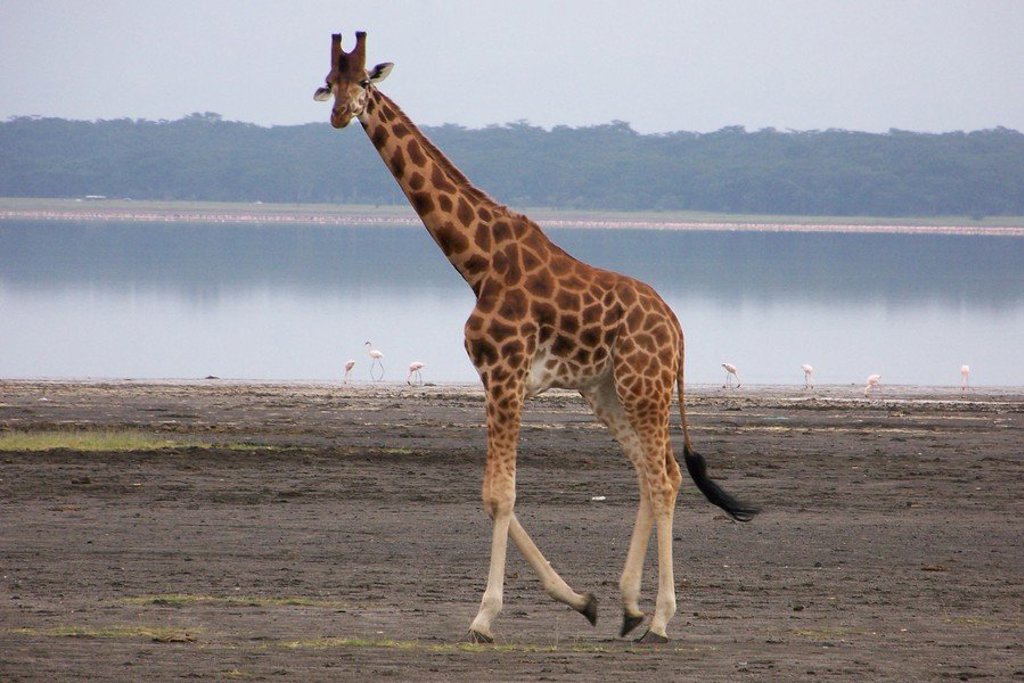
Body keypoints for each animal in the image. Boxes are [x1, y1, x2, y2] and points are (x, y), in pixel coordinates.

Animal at [314, 31, 758, 644]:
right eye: (329, 82)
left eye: (363, 82)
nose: (338, 114)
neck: (478, 262)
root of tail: (676, 326)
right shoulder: (499, 382)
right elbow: (492, 494)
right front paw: (583, 601)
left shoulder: (505, 374)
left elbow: (499, 494)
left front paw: (484, 617)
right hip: (606, 390)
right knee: (652, 473)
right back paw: (631, 608)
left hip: (643, 387)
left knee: (665, 477)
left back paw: (662, 620)